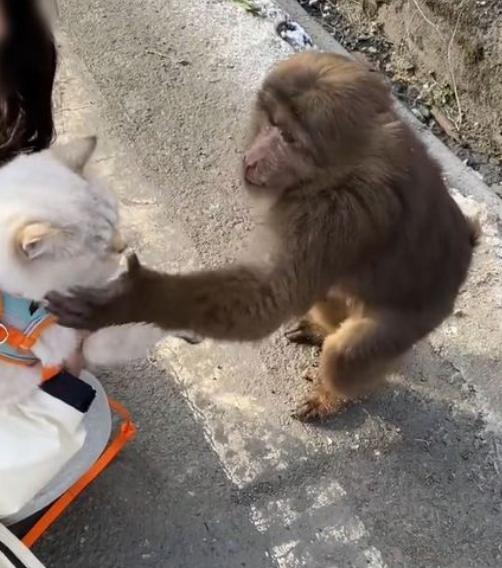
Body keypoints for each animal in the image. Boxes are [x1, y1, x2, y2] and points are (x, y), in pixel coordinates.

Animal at [45, 50, 476, 422]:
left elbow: (268, 299)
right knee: (325, 294)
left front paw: (132, 298)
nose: (252, 158)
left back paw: (332, 394)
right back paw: (323, 329)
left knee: (347, 355)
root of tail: (468, 249)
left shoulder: (338, 215)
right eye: (270, 122)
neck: (337, 170)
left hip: (415, 317)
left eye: (289, 139)